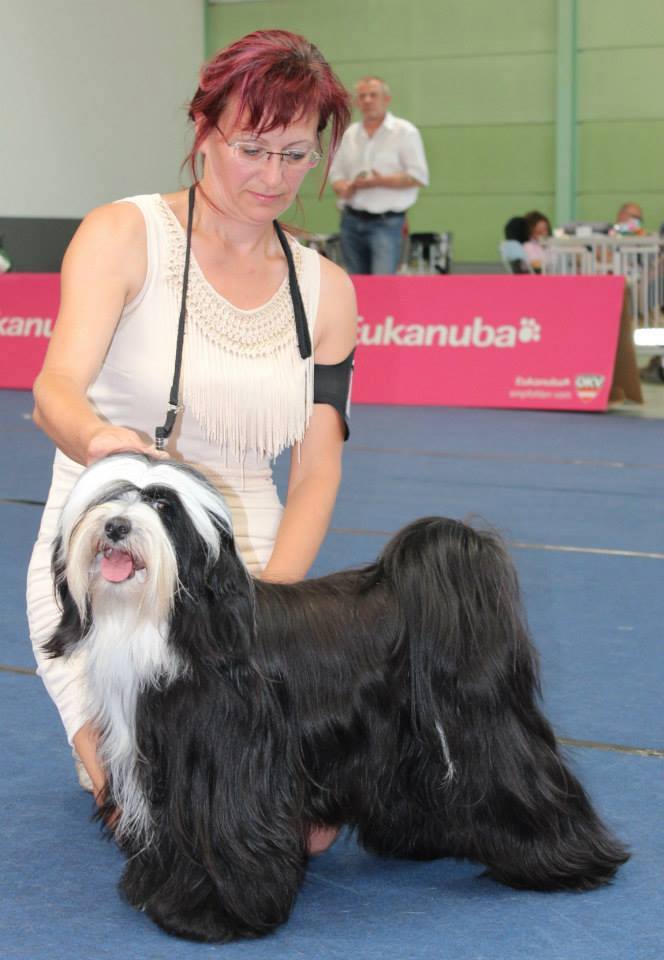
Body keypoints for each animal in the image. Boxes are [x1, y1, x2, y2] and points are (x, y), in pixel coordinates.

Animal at [45, 453, 628, 942]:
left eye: (163, 506)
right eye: (107, 500)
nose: (116, 526)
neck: (173, 623)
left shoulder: (226, 766)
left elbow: (225, 834)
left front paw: (211, 916)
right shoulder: (159, 764)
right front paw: (153, 889)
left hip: (484, 726)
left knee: (529, 778)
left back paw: (570, 861)